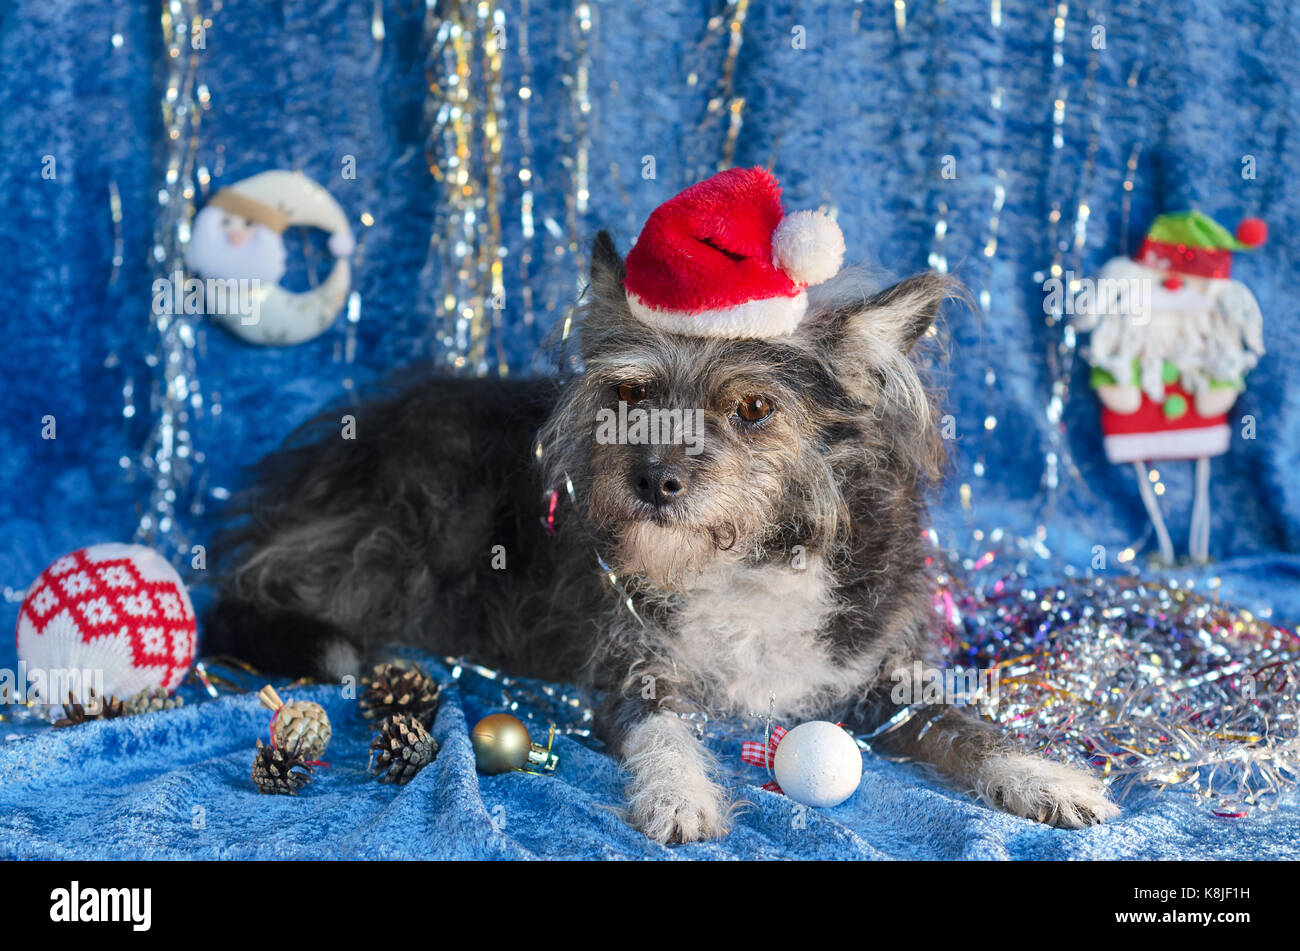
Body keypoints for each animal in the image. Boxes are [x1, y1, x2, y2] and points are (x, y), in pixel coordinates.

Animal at [205, 177, 1118, 841]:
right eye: (631, 394)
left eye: (753, 407)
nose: (653, 479)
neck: (746, 562)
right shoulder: (630, 667)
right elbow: (662, 730)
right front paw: (681, 796)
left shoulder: (883, 675)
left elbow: (964, 722)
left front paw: (1047, 776)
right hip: (401, 543)